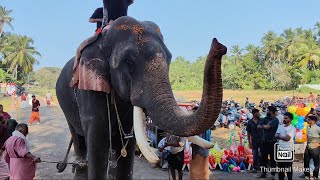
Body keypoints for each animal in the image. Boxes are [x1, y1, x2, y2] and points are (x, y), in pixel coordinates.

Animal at [56, 16, 226, 179]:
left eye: (170, 58)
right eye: (128, 61)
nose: (219, 46)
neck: (103, 40)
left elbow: (128, 144)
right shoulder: (89, 89)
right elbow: (97, 140)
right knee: (78, 140)